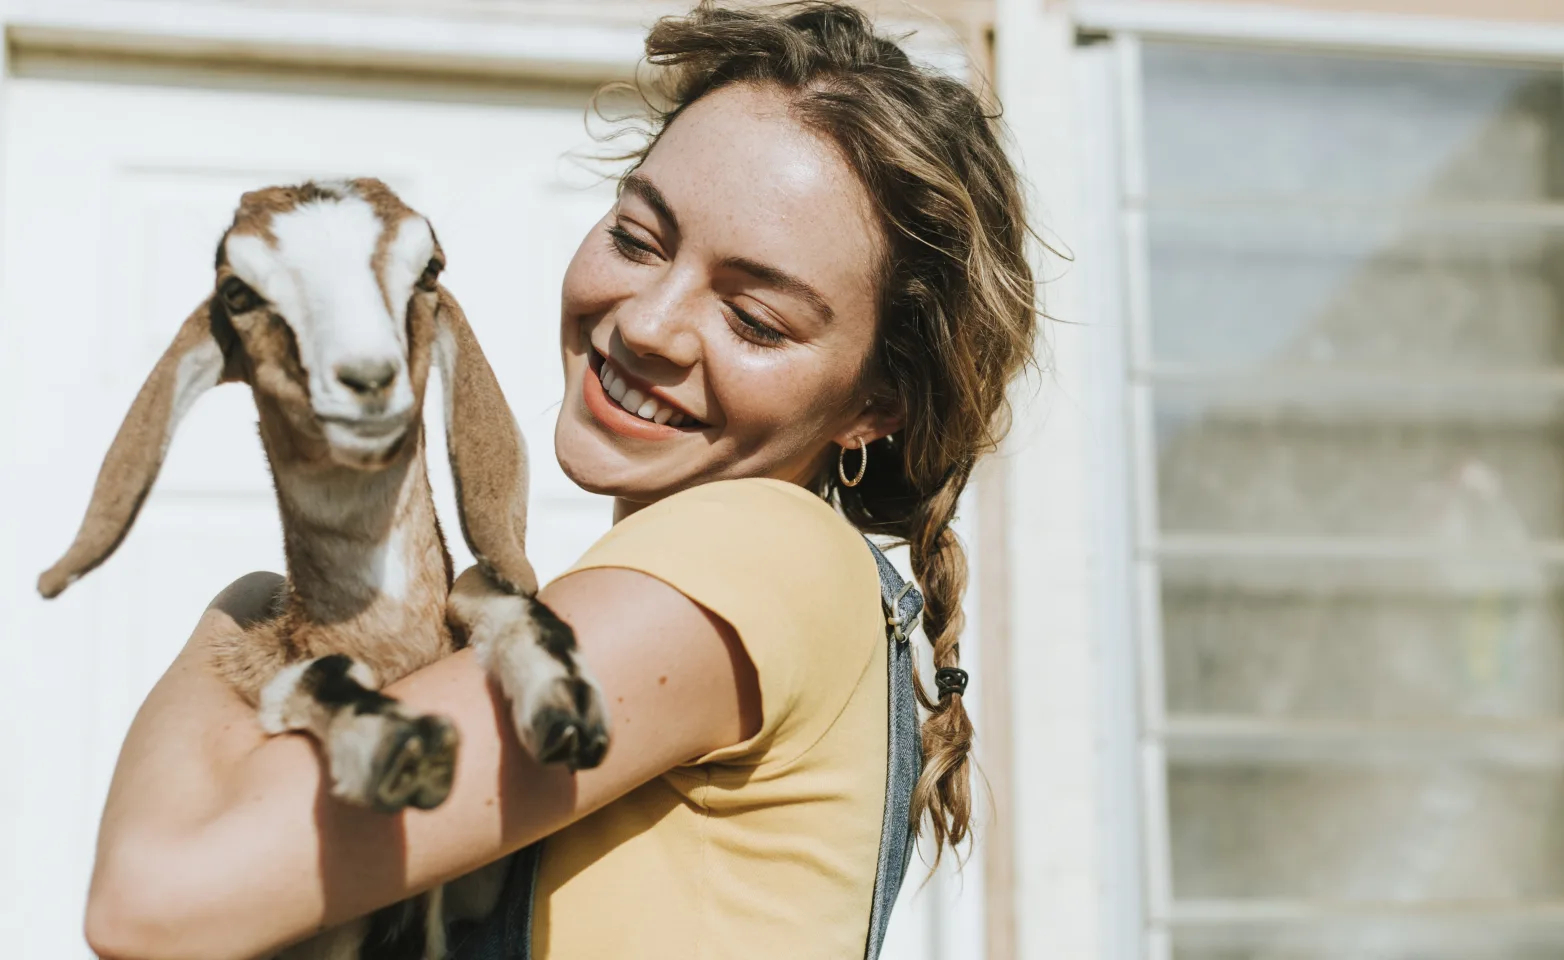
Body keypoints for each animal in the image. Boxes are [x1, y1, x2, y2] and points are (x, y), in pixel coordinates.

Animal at [36, 176, 609, 956]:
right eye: (238, 291)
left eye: (428, 271)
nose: (367, 380)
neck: (391, 646)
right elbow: (312, 675)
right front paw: (401, 746)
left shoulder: (477, 888)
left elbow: (486, 588)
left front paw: (566, 705)